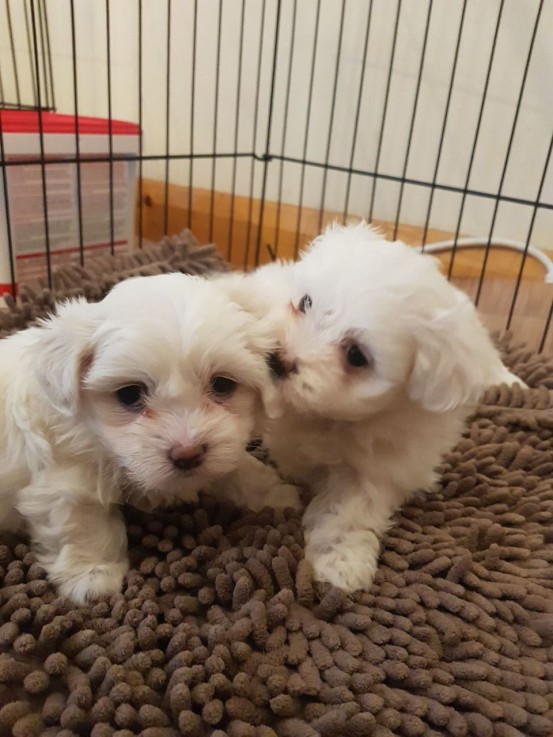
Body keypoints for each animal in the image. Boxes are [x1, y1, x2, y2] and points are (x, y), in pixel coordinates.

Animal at [0, 274, 300, 600]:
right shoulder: (66, 477)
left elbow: (238, 469)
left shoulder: (223, 446)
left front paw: (278, 496)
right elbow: (83, 522)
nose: (188, 454)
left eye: (222, 384)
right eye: (129, 394)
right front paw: (93, 577)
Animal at [221, 223, 520, 592]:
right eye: (306, 302)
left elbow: (350, 507)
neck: (325, 417)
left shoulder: (378, 464)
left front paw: (340, 563)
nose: (278, 359)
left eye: (356, 355)